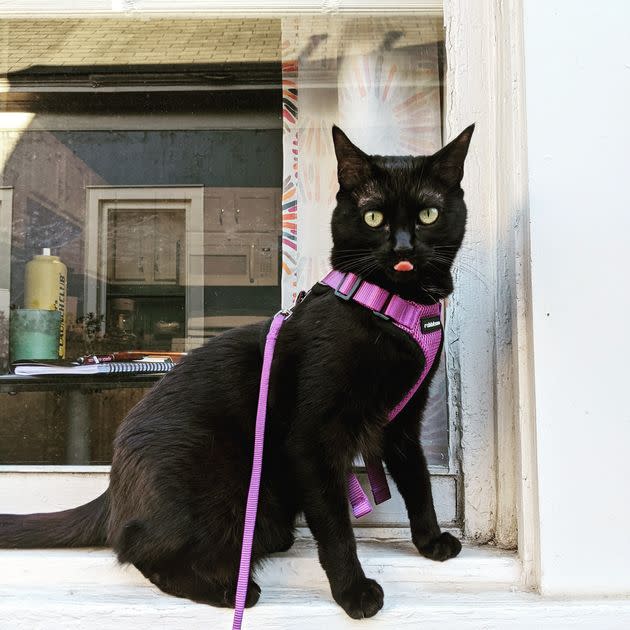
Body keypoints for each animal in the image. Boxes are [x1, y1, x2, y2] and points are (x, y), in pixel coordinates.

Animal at [0, 124, 474, 624]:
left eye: (428, 214)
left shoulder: (402, 422)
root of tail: (113, 488)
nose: (402, 247)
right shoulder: (312, 439)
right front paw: (353, 591)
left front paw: (430, 542)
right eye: (373, 217)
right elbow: (334, 523)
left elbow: (418, 480)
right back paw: (233, 591)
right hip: (220, 483)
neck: (390, 311)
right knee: (135, 546)